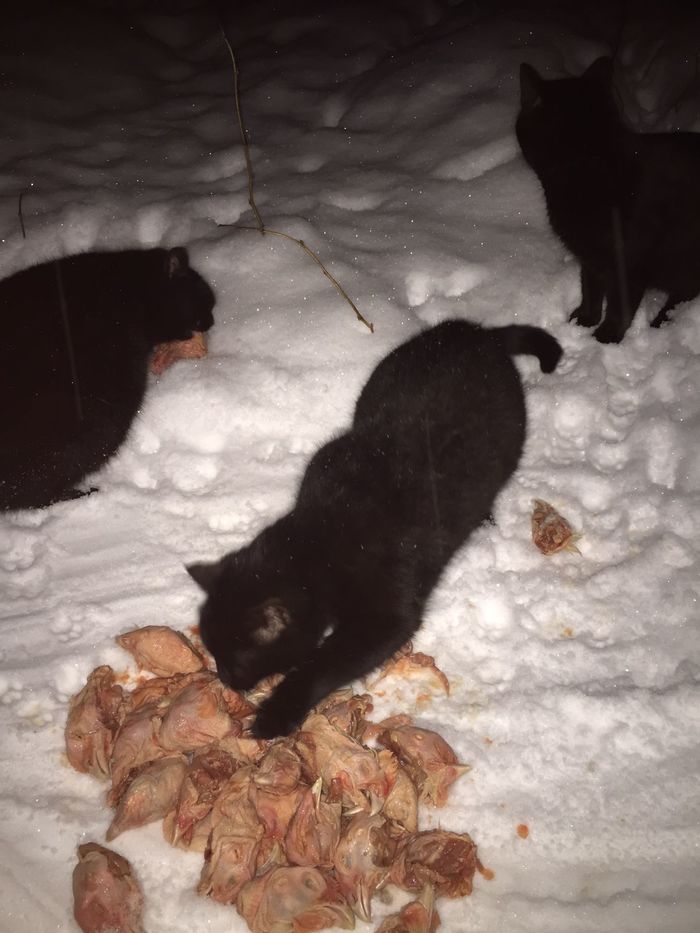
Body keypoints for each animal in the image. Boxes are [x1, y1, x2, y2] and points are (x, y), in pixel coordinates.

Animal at [188, 319, 562, 738]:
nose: (224, 679)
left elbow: (325, 664)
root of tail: (480, 332)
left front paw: (277, 712)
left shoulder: (387, 615)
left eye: (236, 659)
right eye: (213, 652)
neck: (321, 537)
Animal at [516, 56, 700, 343]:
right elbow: (590, 288)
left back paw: (662, 322)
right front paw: (584, 320)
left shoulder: (629, 263)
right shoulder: (590, 257)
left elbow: (619, 306)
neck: (588, 172)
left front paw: (606, 337)